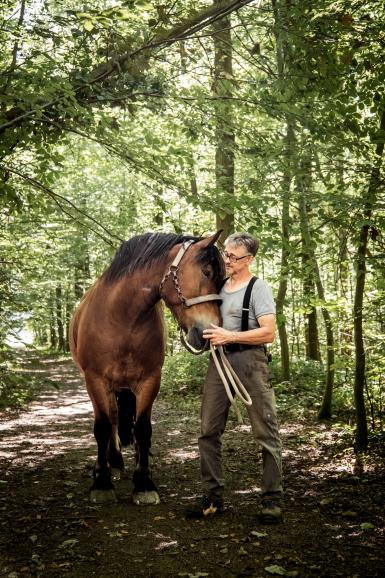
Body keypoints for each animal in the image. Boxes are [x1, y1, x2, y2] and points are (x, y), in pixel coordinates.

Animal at [70, 230, 224, 504]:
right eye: (206, 272)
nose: (209, 333)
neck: (123, 318)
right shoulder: (95, 380)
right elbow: (102, 427)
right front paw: (102, 482)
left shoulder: (150, 380)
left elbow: (142, 429)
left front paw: (143, 483)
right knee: (111, 419)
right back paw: (112, 463)